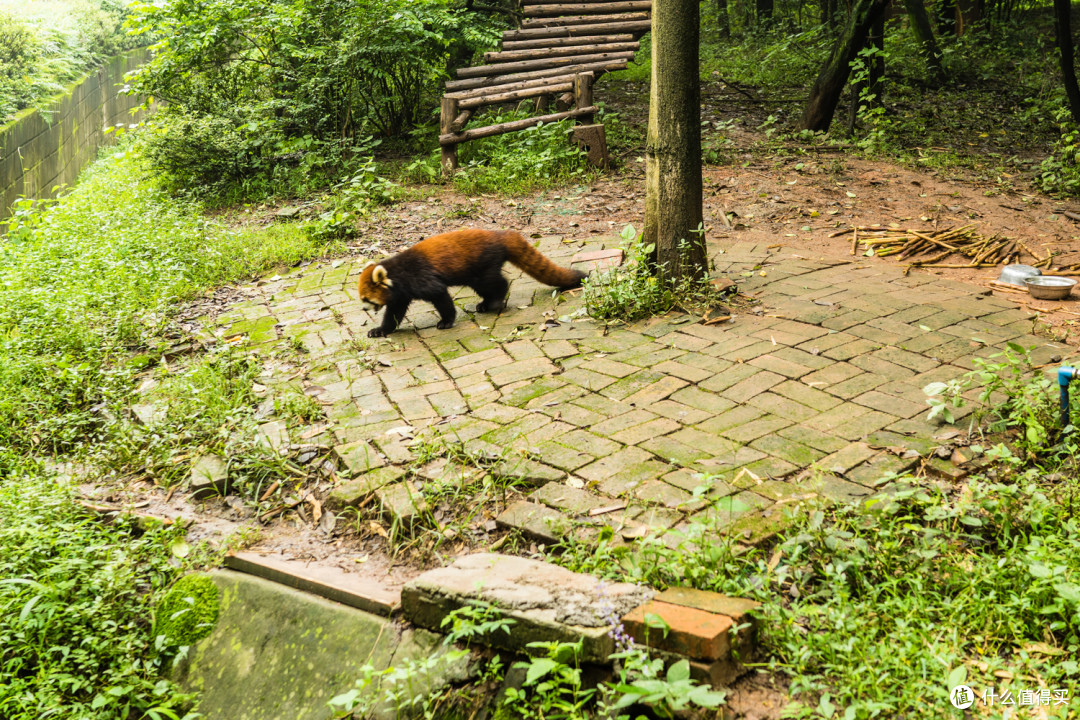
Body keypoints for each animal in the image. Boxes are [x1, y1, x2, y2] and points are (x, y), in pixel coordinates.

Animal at [358, 227, 587, 338]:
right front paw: (380, 330)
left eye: (366, 299)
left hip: (481, 263)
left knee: (495, 282)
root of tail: (500, 235)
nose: (363, 309)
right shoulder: (400, 295)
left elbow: (440, 296)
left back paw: (494, 301)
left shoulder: (421, 277)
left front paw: (446, 321)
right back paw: (485, 303)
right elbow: (394, 313)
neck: (397, 274)